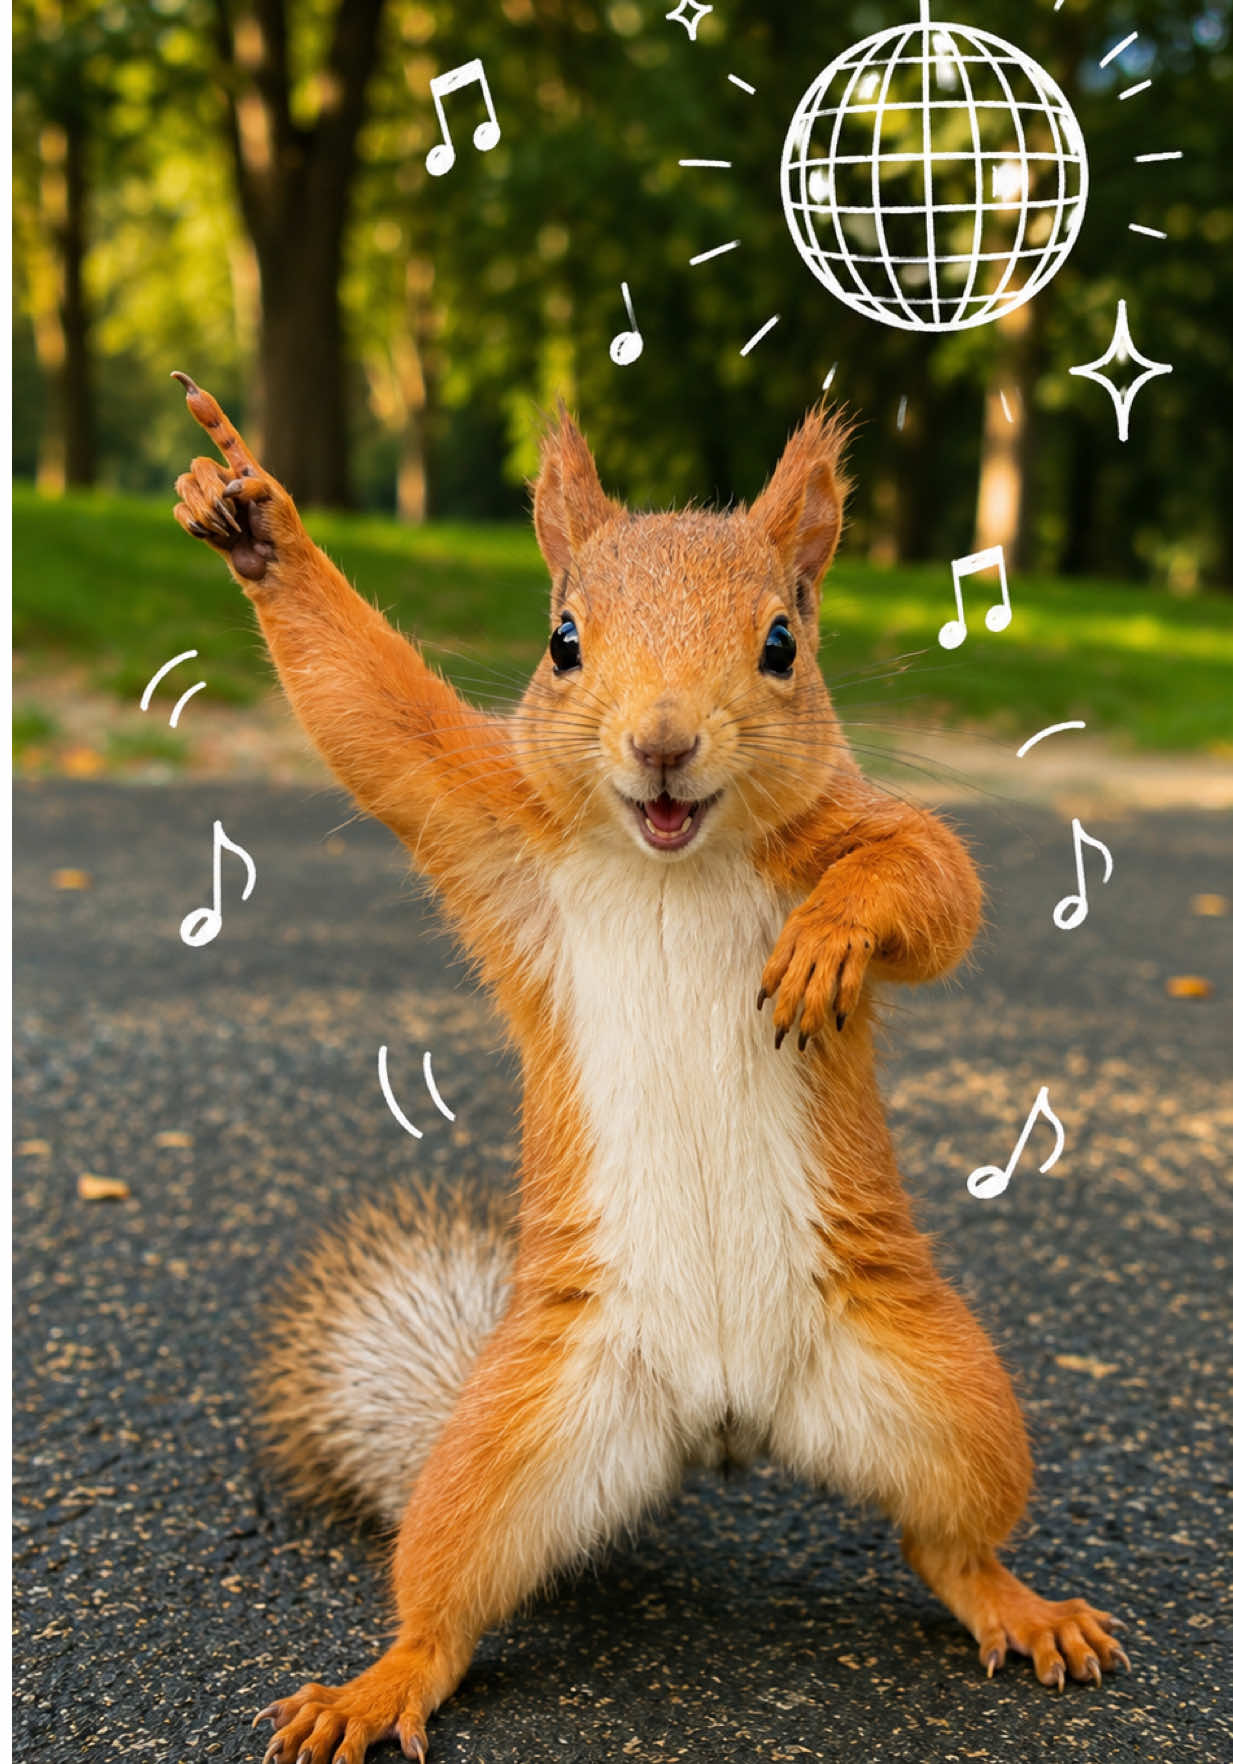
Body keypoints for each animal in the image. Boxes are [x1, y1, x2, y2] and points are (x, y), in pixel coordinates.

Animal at [171, 375, 1128, 1764]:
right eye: (563, 641)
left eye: (783, 643)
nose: (665, 741)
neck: (676, 855)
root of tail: (723, 1423)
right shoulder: (483, 818)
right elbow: (376, 721)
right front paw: (252, 518)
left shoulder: (858, 824)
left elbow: (933, 882)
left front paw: (831, 943)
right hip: (506, 1444)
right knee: (443, 1604)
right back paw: (377, 1685)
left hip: (950, 1393)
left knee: (948, 1541)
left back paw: (1022, 1605)